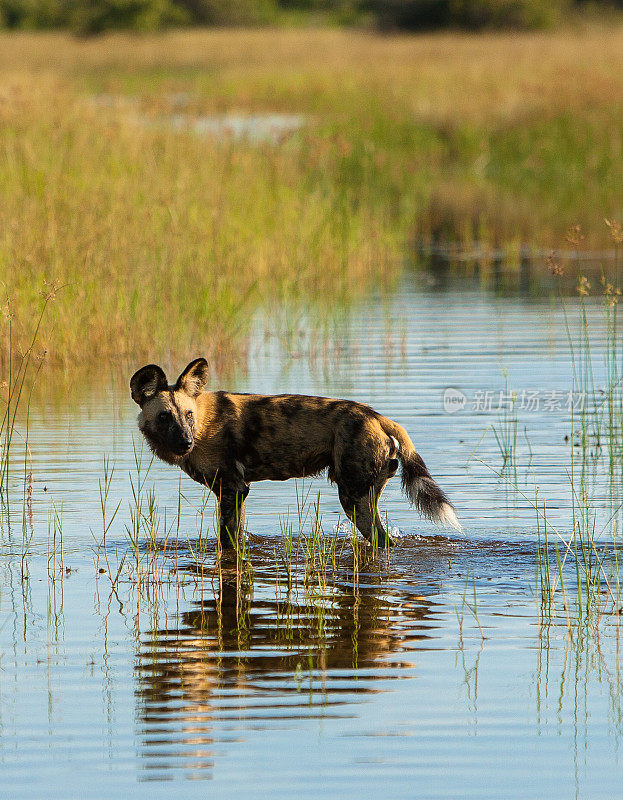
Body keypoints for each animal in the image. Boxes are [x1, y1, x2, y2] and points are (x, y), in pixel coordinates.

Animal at [130, 358, 464, 552]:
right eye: (164, 417)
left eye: (188, 415)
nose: (185, 442)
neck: (203, 421)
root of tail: (375, 415)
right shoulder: (235, 492)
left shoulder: (232, 489)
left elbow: (227, 541)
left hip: (353, 498)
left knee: (382, 541)